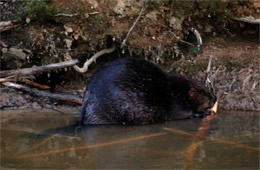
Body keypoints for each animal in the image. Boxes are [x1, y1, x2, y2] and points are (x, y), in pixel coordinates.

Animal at [79, 58, 217, 125]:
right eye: (202, 92)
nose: (215, 97)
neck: (174, 90)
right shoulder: (176, 103)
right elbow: (184, 113)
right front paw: (205, 112)